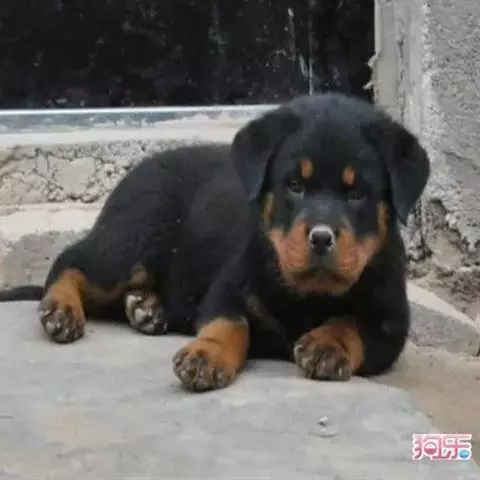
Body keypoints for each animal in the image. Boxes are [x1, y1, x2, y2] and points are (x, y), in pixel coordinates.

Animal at [0, 92, 430, 392]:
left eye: (357, 195)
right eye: (294, 184)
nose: (321, 237)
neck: (306, 296)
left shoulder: (391, 320)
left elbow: (350, 322)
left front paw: (328, 344)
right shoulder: (229, 287)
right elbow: (229, 322)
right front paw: (206, 354)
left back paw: (146, 308)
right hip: (131, 241)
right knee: (70, 261)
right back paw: (61, 308)